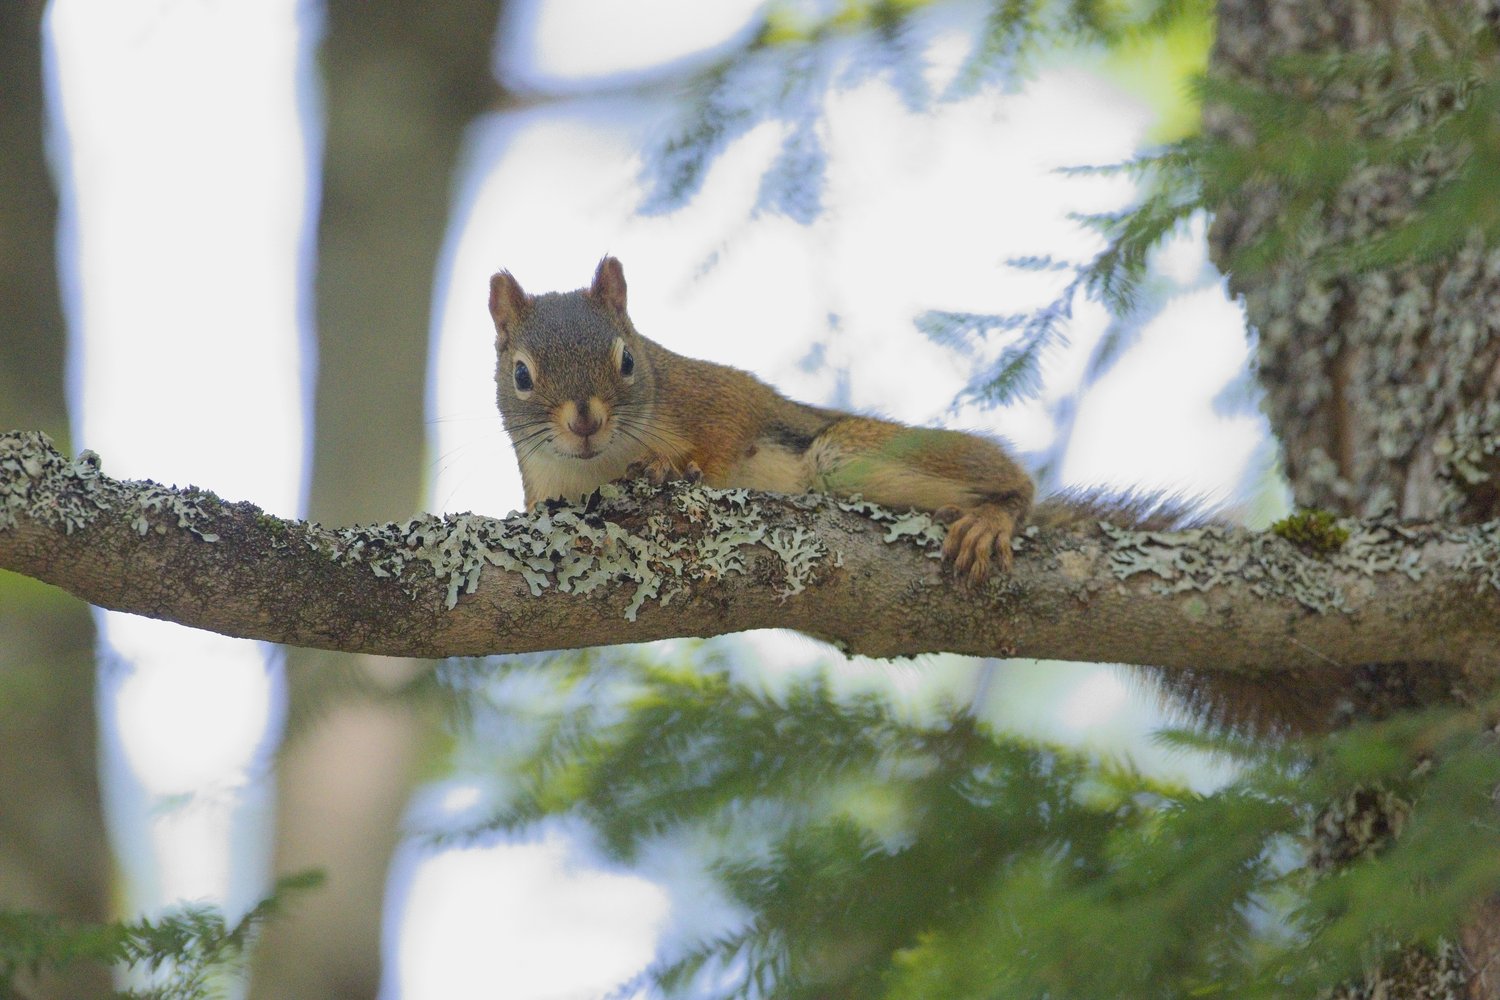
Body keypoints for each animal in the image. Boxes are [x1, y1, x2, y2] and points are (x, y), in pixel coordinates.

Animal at [488, 256, 1035, 583]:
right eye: (521, 374)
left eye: (627, 360)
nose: (584, 422)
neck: (597, 466)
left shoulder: (714, 394)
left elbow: (728, 434)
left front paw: (673, 467)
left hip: (842, 453)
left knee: (1016, 486)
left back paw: (993, 517)